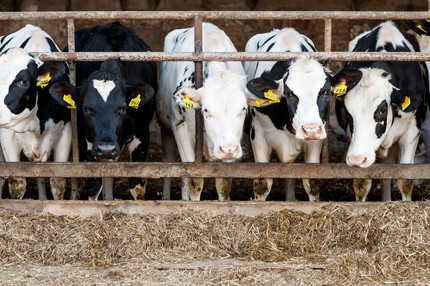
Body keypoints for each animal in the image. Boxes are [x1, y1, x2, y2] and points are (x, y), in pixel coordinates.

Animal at [50, 21, 156, 201]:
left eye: (122, 107)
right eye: (86, 108)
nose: (106, 148)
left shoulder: (142, 134)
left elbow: (137, 186)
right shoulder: (86, 140)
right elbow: (93, 186)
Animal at [158, 22, 256, 201]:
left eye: (243, 109)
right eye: (206, 110)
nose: (228, 149)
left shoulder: (233, 140)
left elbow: (223, 183)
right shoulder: (180, 127)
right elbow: (194, 180)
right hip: (166, 127)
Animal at [244, 26, 330, 201]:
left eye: (325, 91)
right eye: (290, 93)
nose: (311, 130)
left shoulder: (317, 138)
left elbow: (311, 182)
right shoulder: (257, 133)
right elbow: (263, 184)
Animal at [330, 21, 426, 201]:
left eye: (382, 111)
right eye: (348, 111)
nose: (356, 159)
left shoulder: (412, 131)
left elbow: (405, 179)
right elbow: (362, 184)